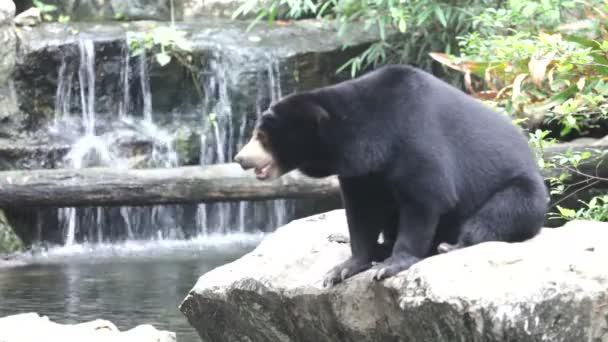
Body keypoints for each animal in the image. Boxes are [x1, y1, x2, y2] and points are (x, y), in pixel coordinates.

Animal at [233, 64, 548, 286]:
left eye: (262, 136)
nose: (239, 158)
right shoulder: (362, 170)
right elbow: (361, 210)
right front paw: (343, 268)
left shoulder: (415, 136)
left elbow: (427, 196)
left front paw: (389, 266)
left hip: (523, 189)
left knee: (503, 211)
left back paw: (450, 245)